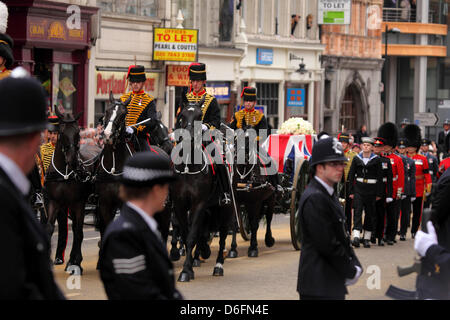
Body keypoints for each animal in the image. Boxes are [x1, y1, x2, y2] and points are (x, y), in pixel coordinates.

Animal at [44, 109, 93, 272]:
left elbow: (78, 231)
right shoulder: (54, 202)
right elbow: (49, 228)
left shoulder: (79, 202)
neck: (65, 173)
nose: (72, 160)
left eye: (78, 132)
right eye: (62, 132)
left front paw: (75, 262)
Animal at [171, 99, 234, 282]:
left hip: (225, 209)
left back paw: (218, 265)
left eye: (200, 116)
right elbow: (187, 234)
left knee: (223, 235)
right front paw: (190, 265)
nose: (188, 137)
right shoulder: (179, 205)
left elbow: (192, 236)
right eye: (182, 115)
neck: (188, 165)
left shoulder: (198, 204)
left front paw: (186, 271)